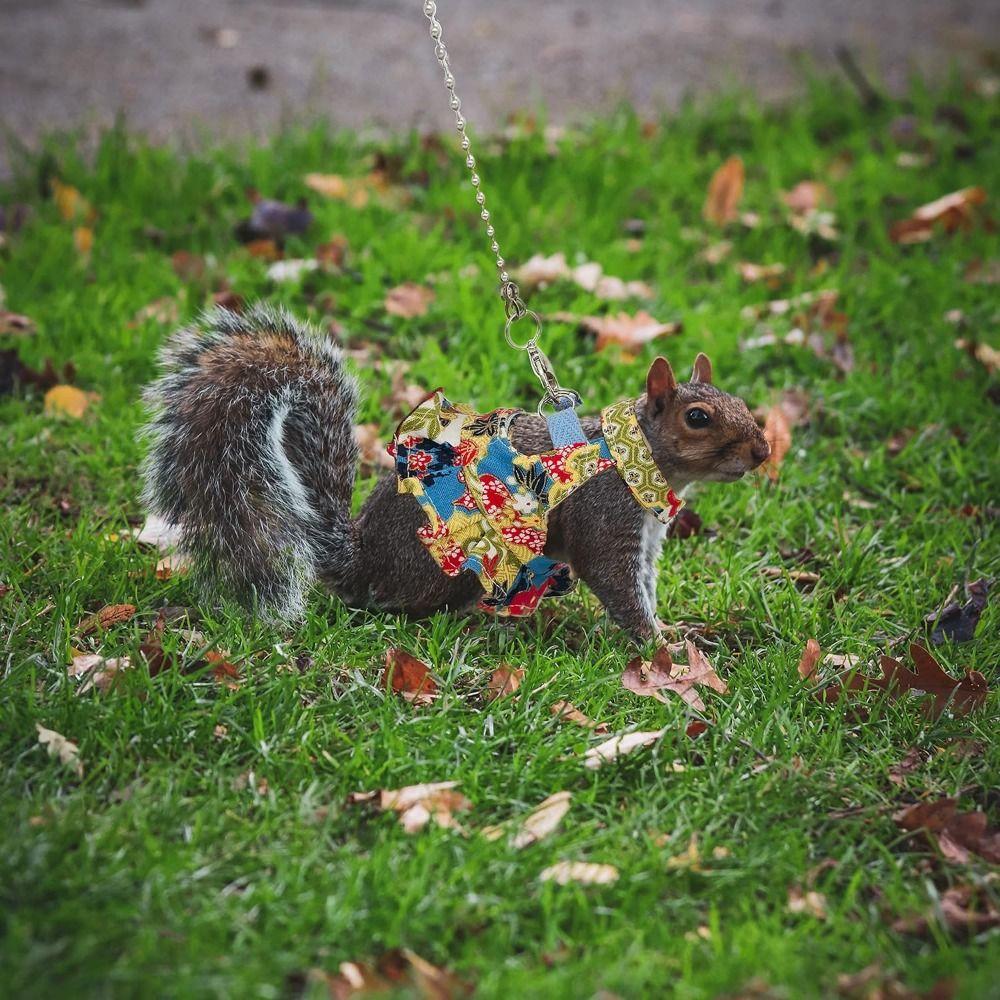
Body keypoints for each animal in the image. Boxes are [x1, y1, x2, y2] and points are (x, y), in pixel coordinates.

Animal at [141, 304, 770, 642]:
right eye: (698, 417)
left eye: (740, 399)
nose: (764, 452)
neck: (628, 458)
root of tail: (359, 561)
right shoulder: (606, 520)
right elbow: (617, 585)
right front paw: (658, 645)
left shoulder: (644, 537)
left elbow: (643, 583)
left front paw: (674, 632)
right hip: (460, 563)